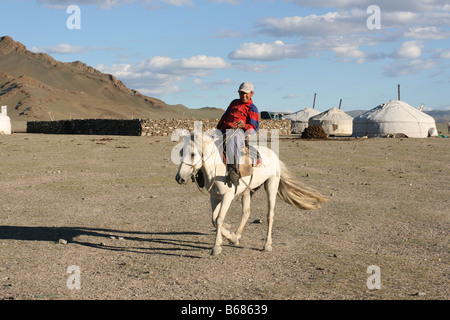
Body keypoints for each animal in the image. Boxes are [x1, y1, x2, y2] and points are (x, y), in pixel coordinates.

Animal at [175, 129, 326, 256]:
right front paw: (229, 236)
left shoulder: (227, 197)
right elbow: (214, 219)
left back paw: (267, 245)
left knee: (270, 215)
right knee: (246, 212)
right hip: (248, 191)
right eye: (181, 152)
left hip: (271, 185)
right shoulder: (214, 197)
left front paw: (216, 246)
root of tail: (274, 156)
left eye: (193, 154)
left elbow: (219, 219)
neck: (216, 170)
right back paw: (236, 237)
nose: (179, 178)